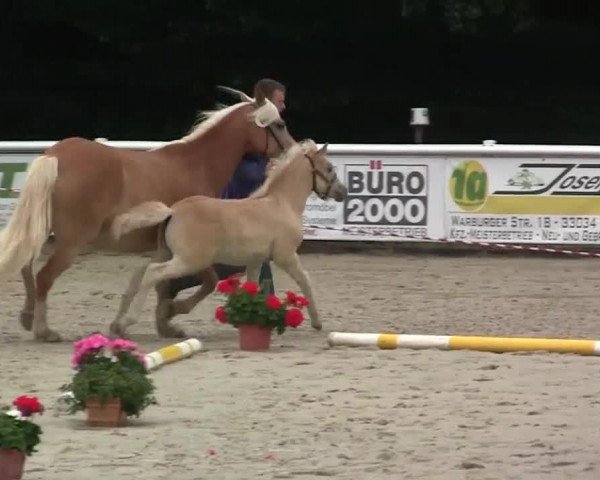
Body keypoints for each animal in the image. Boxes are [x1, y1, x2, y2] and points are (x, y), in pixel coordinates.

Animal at [0, 86, 298, 342]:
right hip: (71, 242)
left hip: (43, 229)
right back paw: (44, 330)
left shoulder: (166, 249)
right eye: (279, 124)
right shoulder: (193, 249)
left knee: (26, 265)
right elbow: (207, 281)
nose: (293, 151)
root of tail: (56, 155)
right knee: (44, 276)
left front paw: (159, 324)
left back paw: (27, 316)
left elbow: (157, 283)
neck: (196, 164)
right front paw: (171, 314)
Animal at [110, 138, 350, 338]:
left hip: (167, 253)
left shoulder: (256, 261)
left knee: (139, 275)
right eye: (329, 168)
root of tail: (173, 210)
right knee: (153, 273)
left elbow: (254, 288)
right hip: (189, 261)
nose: (343, 192)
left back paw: (118, 325)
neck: (282, 203)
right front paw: (317, 323)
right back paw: (130, 321)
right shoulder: (286, 256)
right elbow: (305, 280)